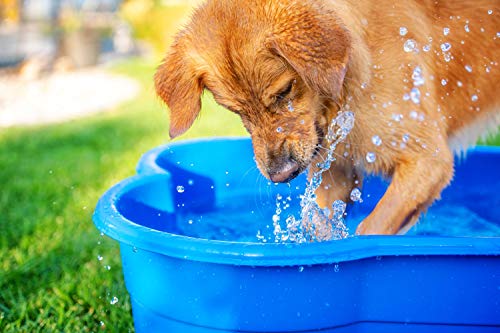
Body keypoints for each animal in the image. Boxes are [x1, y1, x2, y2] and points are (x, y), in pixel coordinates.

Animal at [155, 0, 500, 235]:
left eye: (285, 91)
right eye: (236, 110)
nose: (280, 175)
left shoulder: (427, 161)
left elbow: (370, 230)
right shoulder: (336, 172)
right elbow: (318, 226)